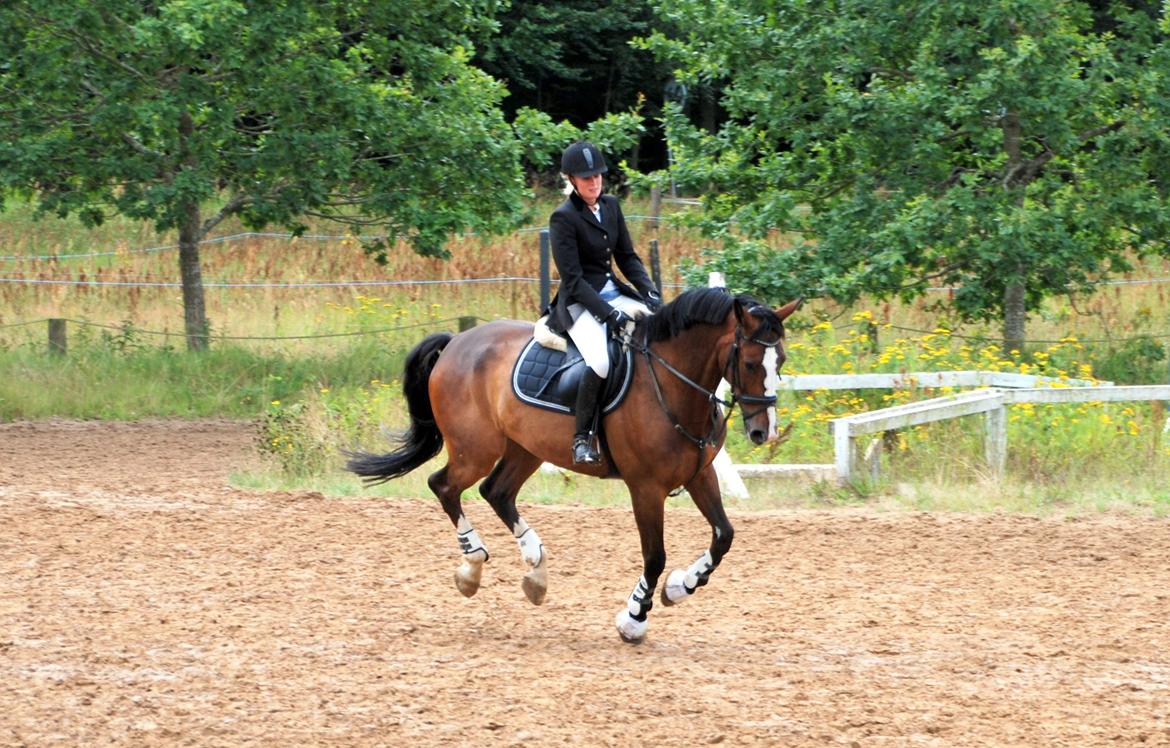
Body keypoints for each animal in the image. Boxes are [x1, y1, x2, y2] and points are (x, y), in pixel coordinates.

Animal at [346, 286, 800, 646]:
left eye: (780, 361)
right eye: (750, 363)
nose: (764, 432)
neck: (672, 383)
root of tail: (458, 340)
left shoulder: (700, 475)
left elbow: (723, 536)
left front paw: (679, 589)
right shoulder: (646, 487)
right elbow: (654, 556)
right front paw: (633, 620)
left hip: (525, 448)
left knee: (496, 492)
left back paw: (536, 573)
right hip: (474, 449)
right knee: (444, 486)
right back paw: (472, 568)